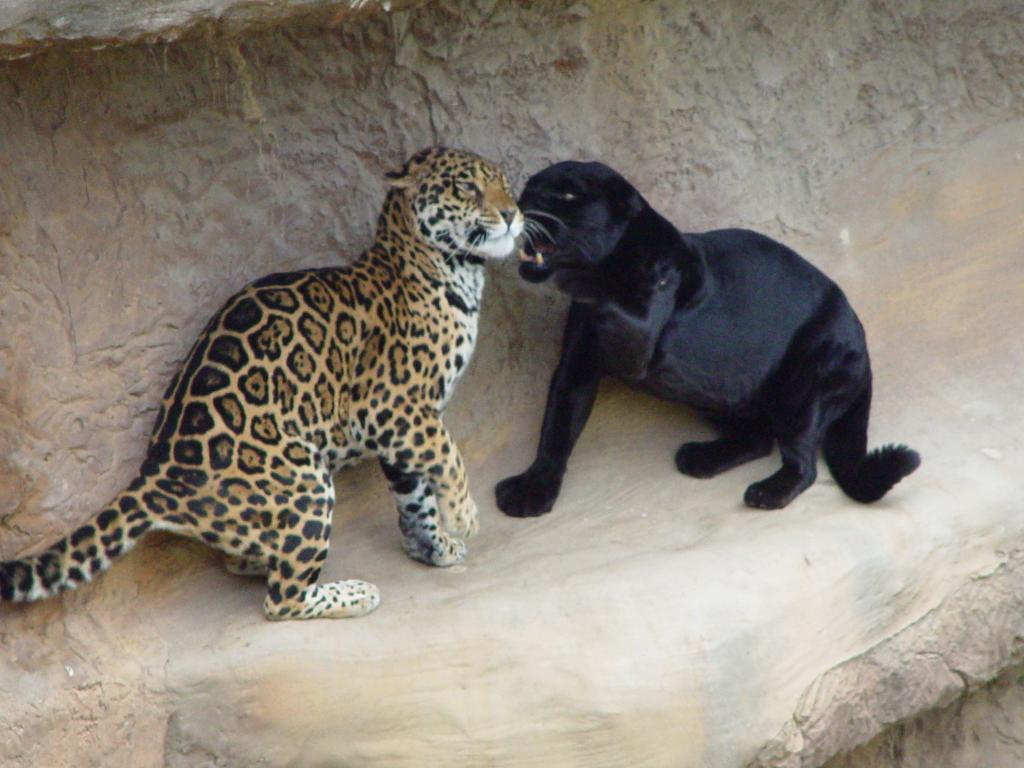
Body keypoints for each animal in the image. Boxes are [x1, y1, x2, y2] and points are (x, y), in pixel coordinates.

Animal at [1, 146, 523, 621]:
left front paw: (433, 547)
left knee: (249, 563)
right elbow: (448, 458)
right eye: (467, 188)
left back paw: (264, 558)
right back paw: (354, 593)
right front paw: (465, 515)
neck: (450, 268)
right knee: (282, 600)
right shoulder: (394, 409)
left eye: (504, 183)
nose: (513, 214)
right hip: (307, 483)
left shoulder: (404, 428)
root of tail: (157, 471)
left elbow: (416, 497)